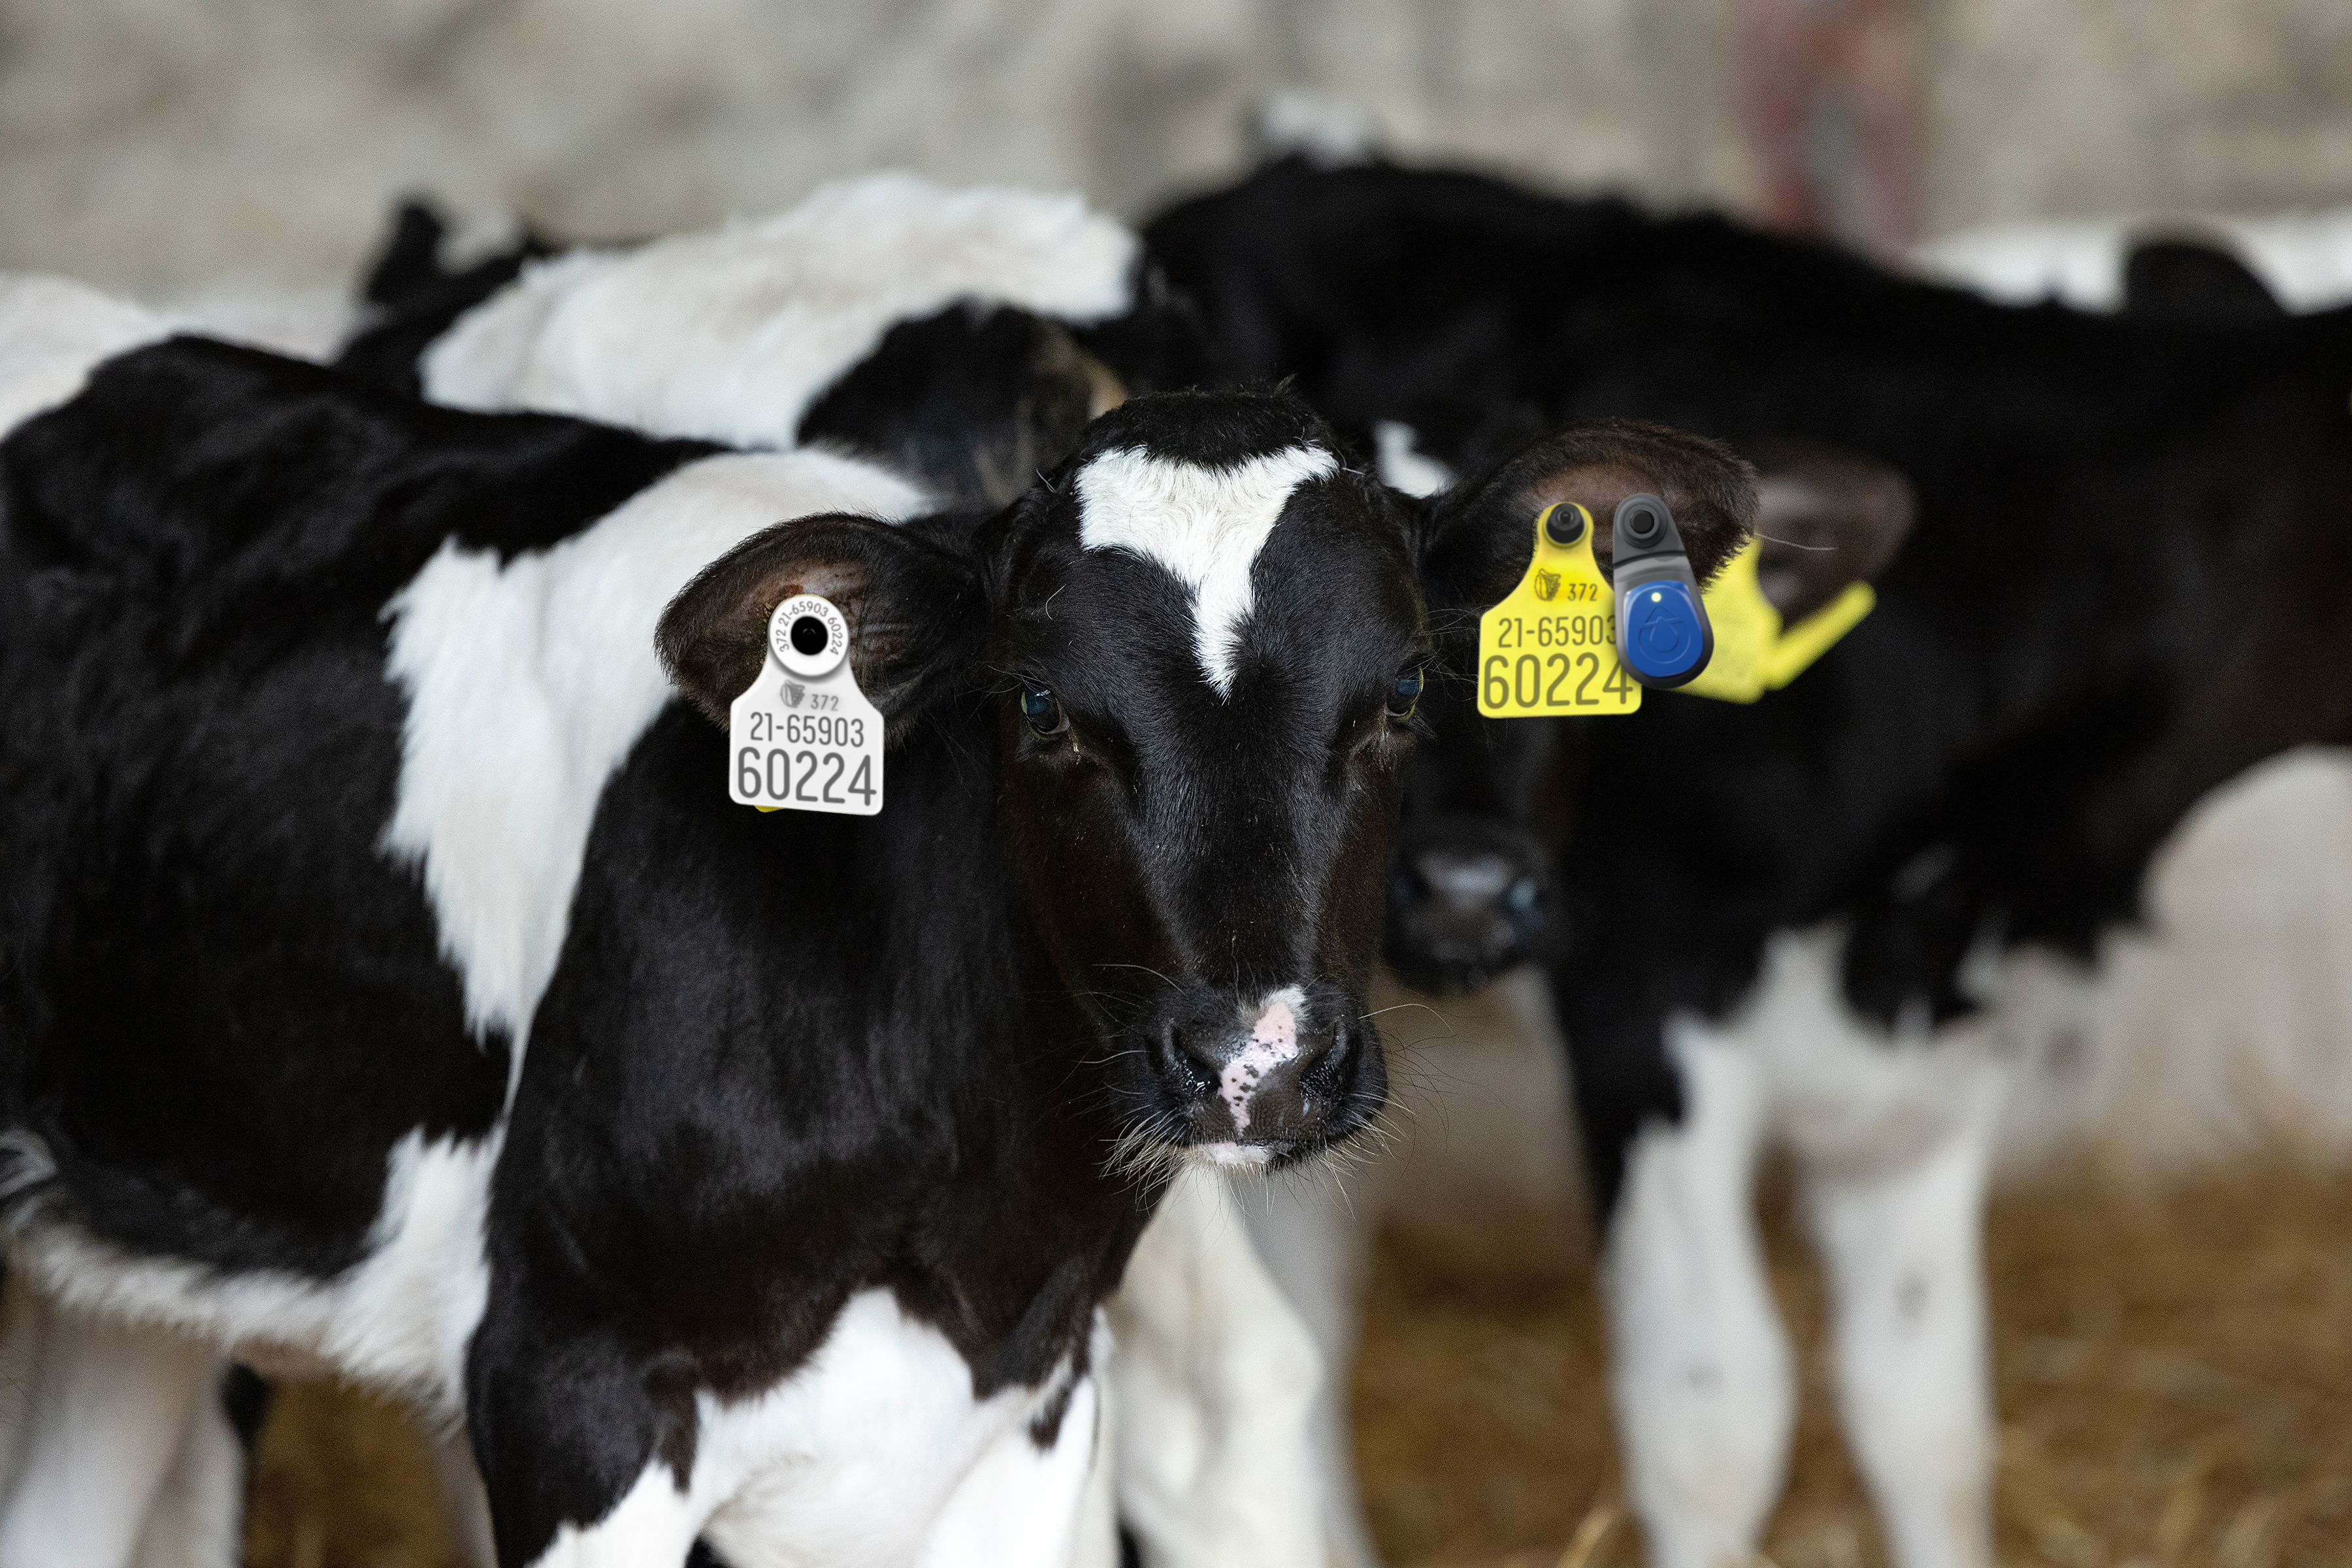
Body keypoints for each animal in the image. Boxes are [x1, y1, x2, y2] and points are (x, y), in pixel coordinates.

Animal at [0, 276, 1759, 1568]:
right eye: (1038, 704)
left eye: (1400, 689)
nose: (1258, 1062)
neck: (956, 1214)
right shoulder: (569, 1389)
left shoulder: (1027, 1406)